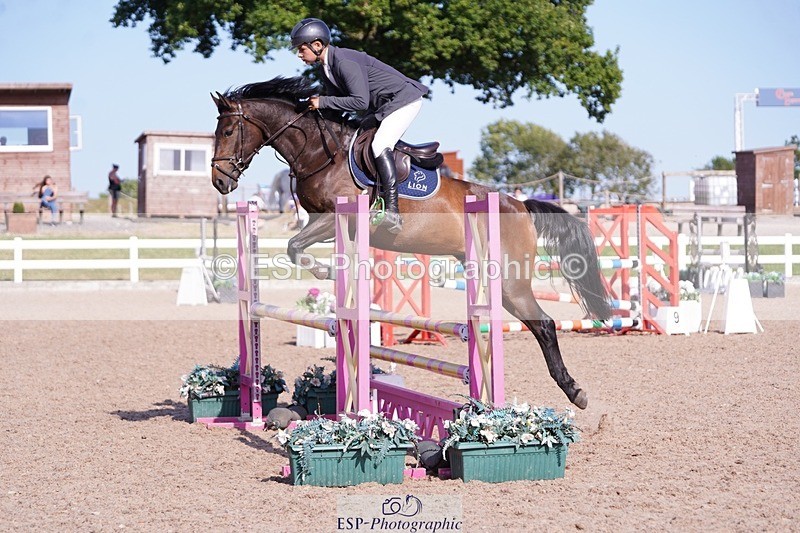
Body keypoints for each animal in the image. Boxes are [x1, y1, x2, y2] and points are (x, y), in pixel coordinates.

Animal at [210, 76, 612, 410]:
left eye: (228, 130)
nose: (220, 181)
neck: (321, 154)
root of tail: (520, 205)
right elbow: (296, 247)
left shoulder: (334, 218)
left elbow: (295, 247)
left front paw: (328, 274)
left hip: (510, 280)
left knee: (543, 325)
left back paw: (574, 391)